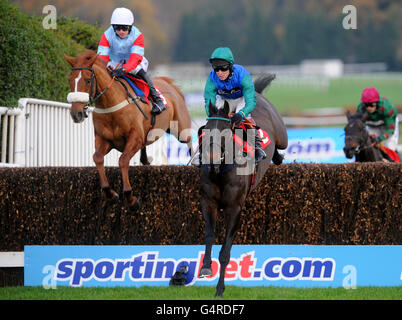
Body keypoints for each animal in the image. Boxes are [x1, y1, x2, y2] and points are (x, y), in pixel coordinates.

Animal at [65, 49, 193, 210]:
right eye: (70, 80)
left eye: (88, 80)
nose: (76, 114)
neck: (111, 105)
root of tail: (168, 84)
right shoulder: (104, 139)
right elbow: (97, 158)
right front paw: (110, 193)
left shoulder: (135, 138)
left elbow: (123, 160)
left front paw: (130, 198)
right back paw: (146, 160)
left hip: (181, 128)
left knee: (190, 141)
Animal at [197, 75, 286, 298]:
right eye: (205, 131)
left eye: (224, 132)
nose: (211, 158)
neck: (221, 171)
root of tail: (259, 95)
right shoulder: (208, 202)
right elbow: (209, 235)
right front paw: (205, 267)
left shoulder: (235, 208)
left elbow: (225, 252)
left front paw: (220, 288)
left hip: (282, 136)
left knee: (280, 147)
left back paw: (276, 155)